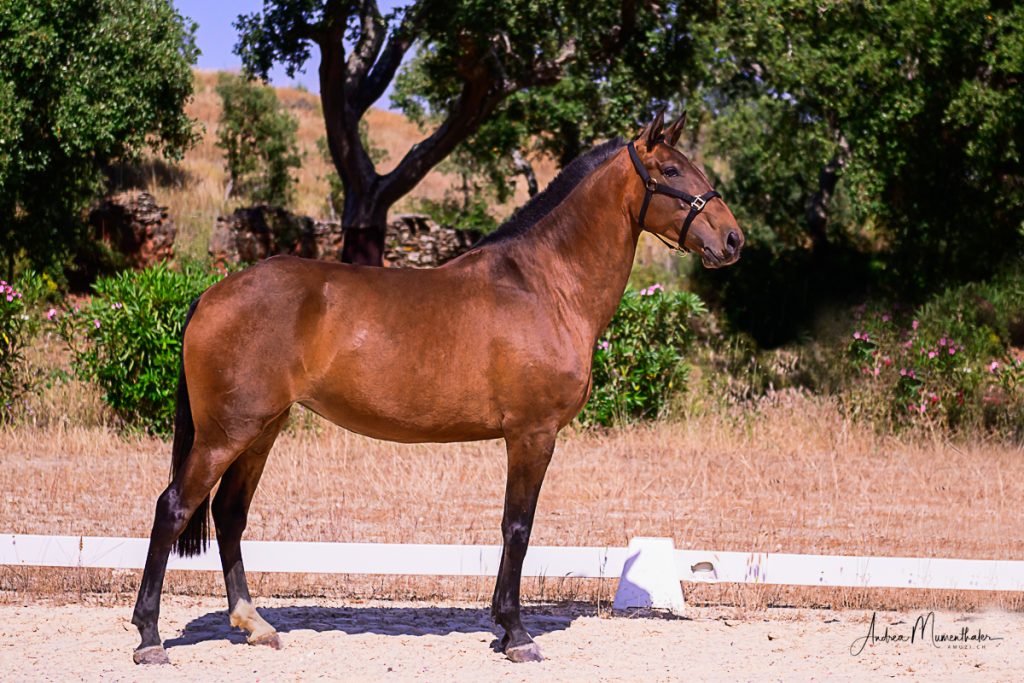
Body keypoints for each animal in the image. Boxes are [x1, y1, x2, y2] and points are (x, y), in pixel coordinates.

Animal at [134, 111, 745, 663]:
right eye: (671, 169)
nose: (734, 238)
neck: (544, 286)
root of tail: (212, 294)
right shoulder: (532, 435)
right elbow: (517, 527)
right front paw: (515, 634)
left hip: (262, 429)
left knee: (229, 515)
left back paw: (254, 625)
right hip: (227, 432)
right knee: (173, 507)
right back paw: (149, 638)